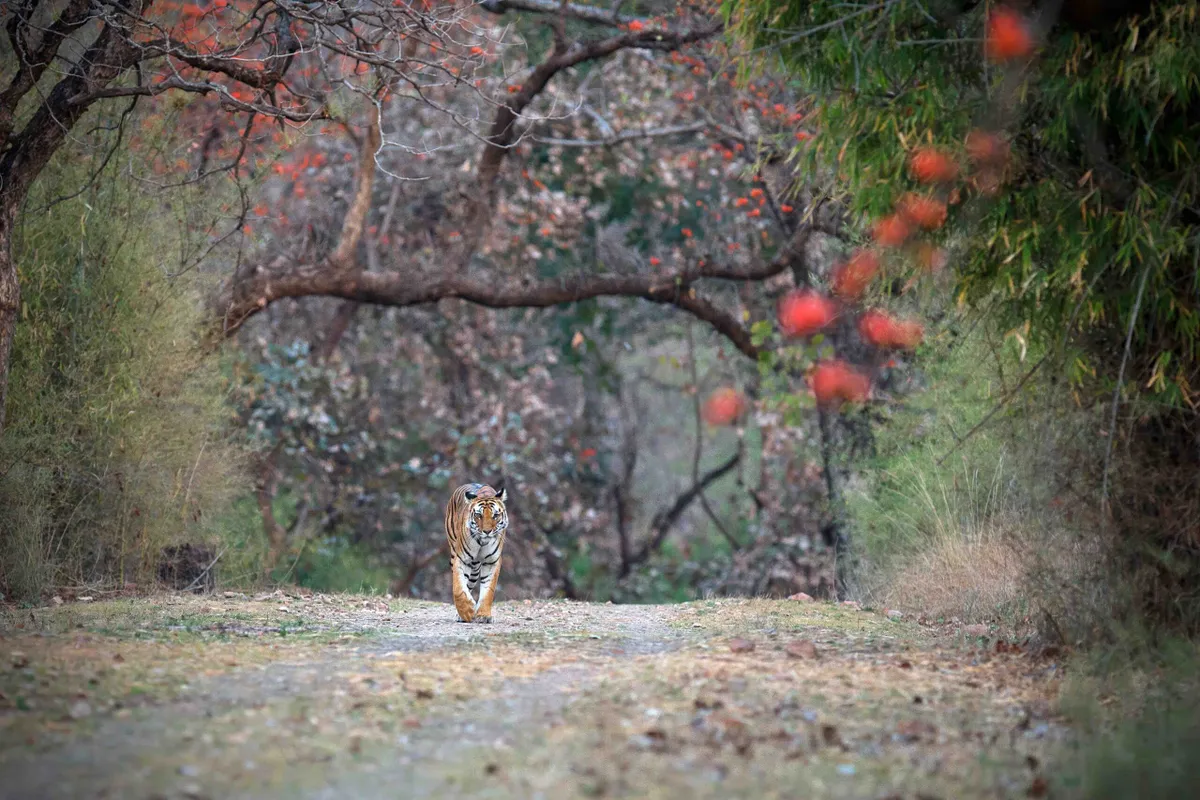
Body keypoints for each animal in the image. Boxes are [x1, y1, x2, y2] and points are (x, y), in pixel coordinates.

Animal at [446, 482, 511, 623]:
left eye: (495, 515)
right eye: (478, 515)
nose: (487, 531)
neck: (482, 542)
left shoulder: (492, 562)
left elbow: (488, 590)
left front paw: (484, 616)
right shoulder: (461, 559)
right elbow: (458, 587)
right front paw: (467, 611)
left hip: (475, 568)